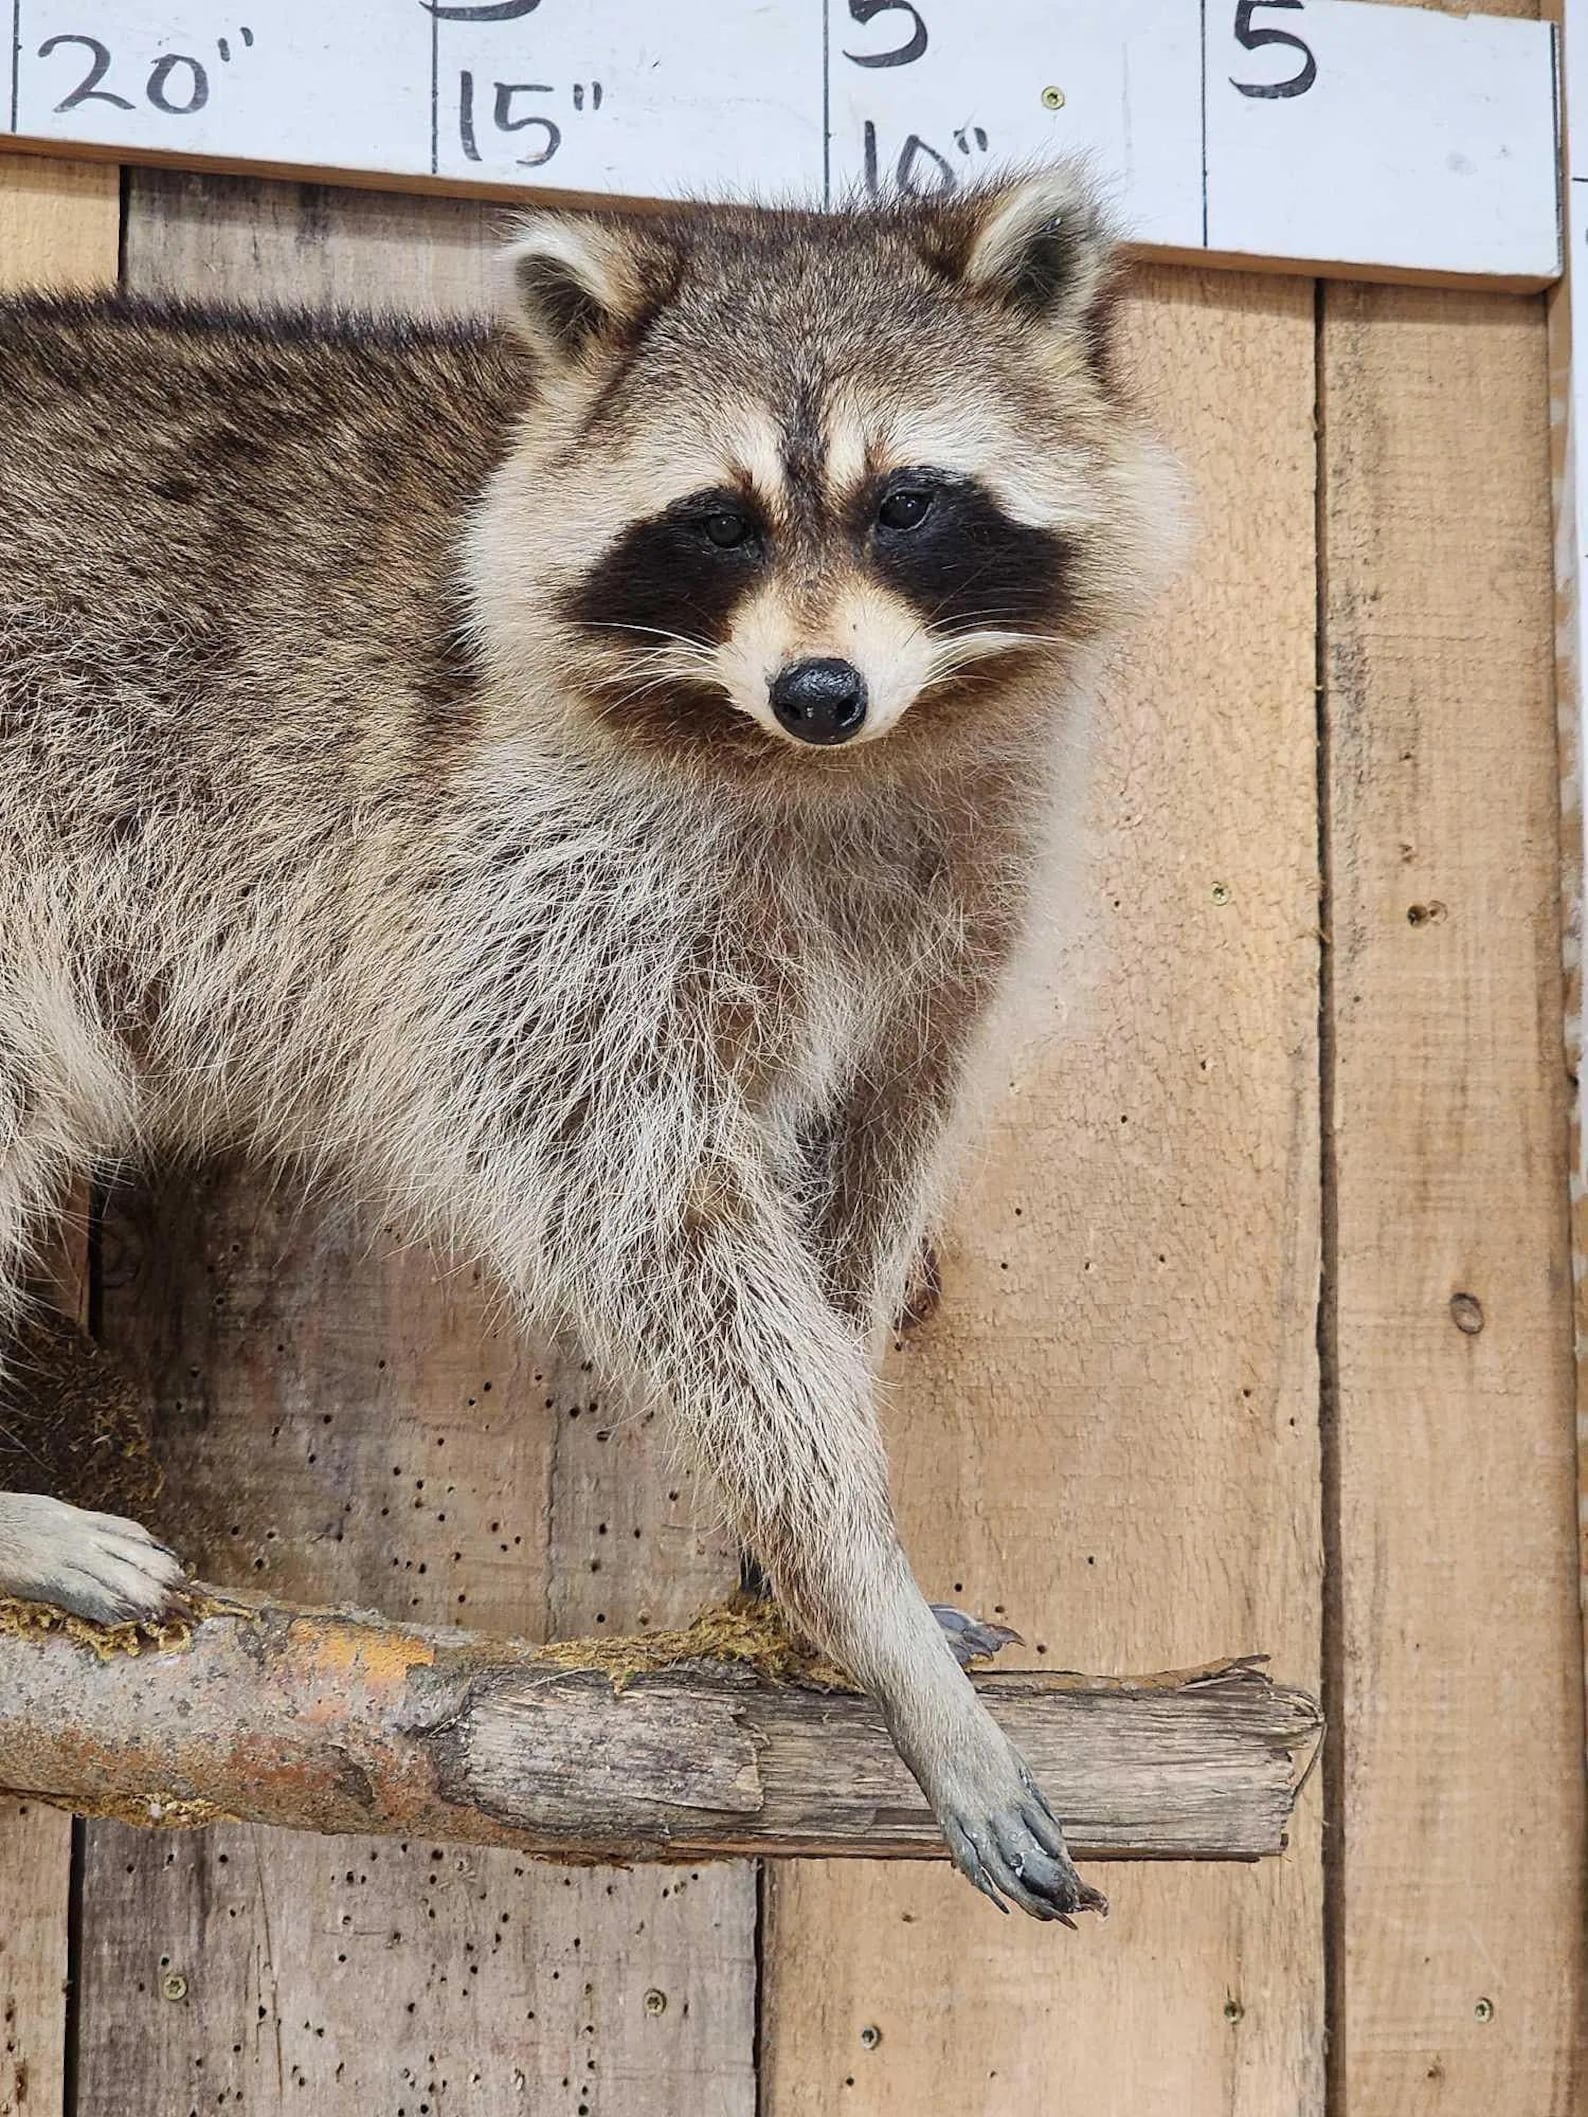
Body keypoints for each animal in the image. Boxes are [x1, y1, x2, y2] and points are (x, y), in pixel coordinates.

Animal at [0, 167, 1175, 1920]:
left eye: (906, 503)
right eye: (719, 519)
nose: (819, 688)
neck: (823, 767)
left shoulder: (955, 909)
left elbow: (852, 1190)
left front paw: (797, 1574)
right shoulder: (533, 874)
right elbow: (639, 1210)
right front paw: (860, 1589)